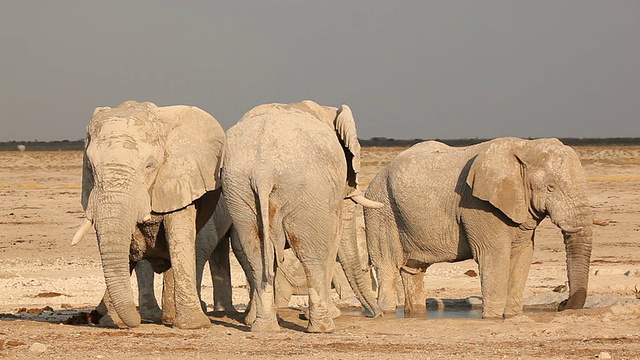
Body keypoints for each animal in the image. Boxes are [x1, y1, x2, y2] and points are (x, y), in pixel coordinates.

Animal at [70, 100, 224, 330]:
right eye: (90, 166)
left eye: (150, 166)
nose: (135, 321)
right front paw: (112, 321)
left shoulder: (180, 178)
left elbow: (179, 237)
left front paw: (193, 325)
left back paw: (168, 319)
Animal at [222, 100, 382, 334]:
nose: (378, 315)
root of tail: (263, 169)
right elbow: (332, 239)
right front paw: (333, 315)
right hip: (306, 190)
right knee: (311, 253)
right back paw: (323, 327)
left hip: (238, 189)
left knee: (256, 255)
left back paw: (263, 327)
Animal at [364, 137, 596, 318]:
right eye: (550, 187)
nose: (562, 305)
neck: (525, 146)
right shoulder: (478, 205)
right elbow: (493, 255)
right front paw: (492, 319)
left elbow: (523, 254)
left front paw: (512, 317)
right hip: (381, 210)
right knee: (387, 267)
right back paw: (386, 314)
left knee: (414, 271)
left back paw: (416, 314)